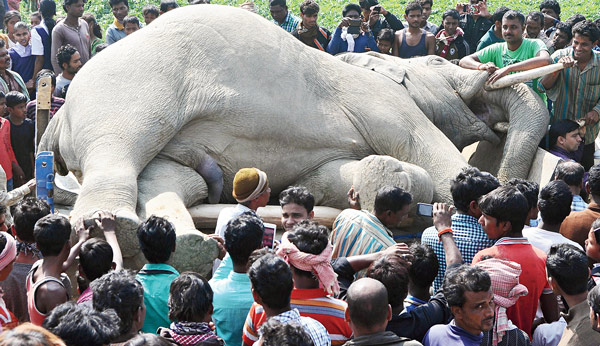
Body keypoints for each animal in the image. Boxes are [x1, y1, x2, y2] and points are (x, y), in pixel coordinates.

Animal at [39, 4, 548, 276]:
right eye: (443, 63)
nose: (489, 67)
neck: (374, 60)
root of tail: (57, 119)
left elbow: (331, 175)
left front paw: (380, 177)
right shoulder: (383, 101)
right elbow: (435, 158)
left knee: (175, 178)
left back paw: (188, 245)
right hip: (127, 92)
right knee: (121, 148)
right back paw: (112, 227)